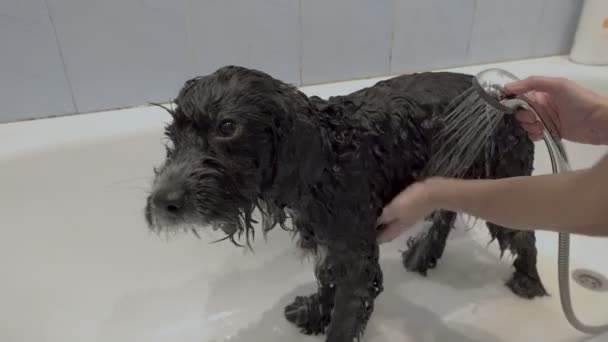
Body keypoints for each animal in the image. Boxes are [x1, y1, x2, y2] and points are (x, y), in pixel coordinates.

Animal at [145, 65, 548, 340]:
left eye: (227, 128)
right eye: (173, 135)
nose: (161, 203)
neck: (326, 156)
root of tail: (506, 96)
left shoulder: (355, 255)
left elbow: (345, 315)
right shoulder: (329, 240)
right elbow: (327, 281)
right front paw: (314, 313)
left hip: (502, 187)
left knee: (524, 236)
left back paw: (529, 282)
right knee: (446, 214)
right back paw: (423, 255)